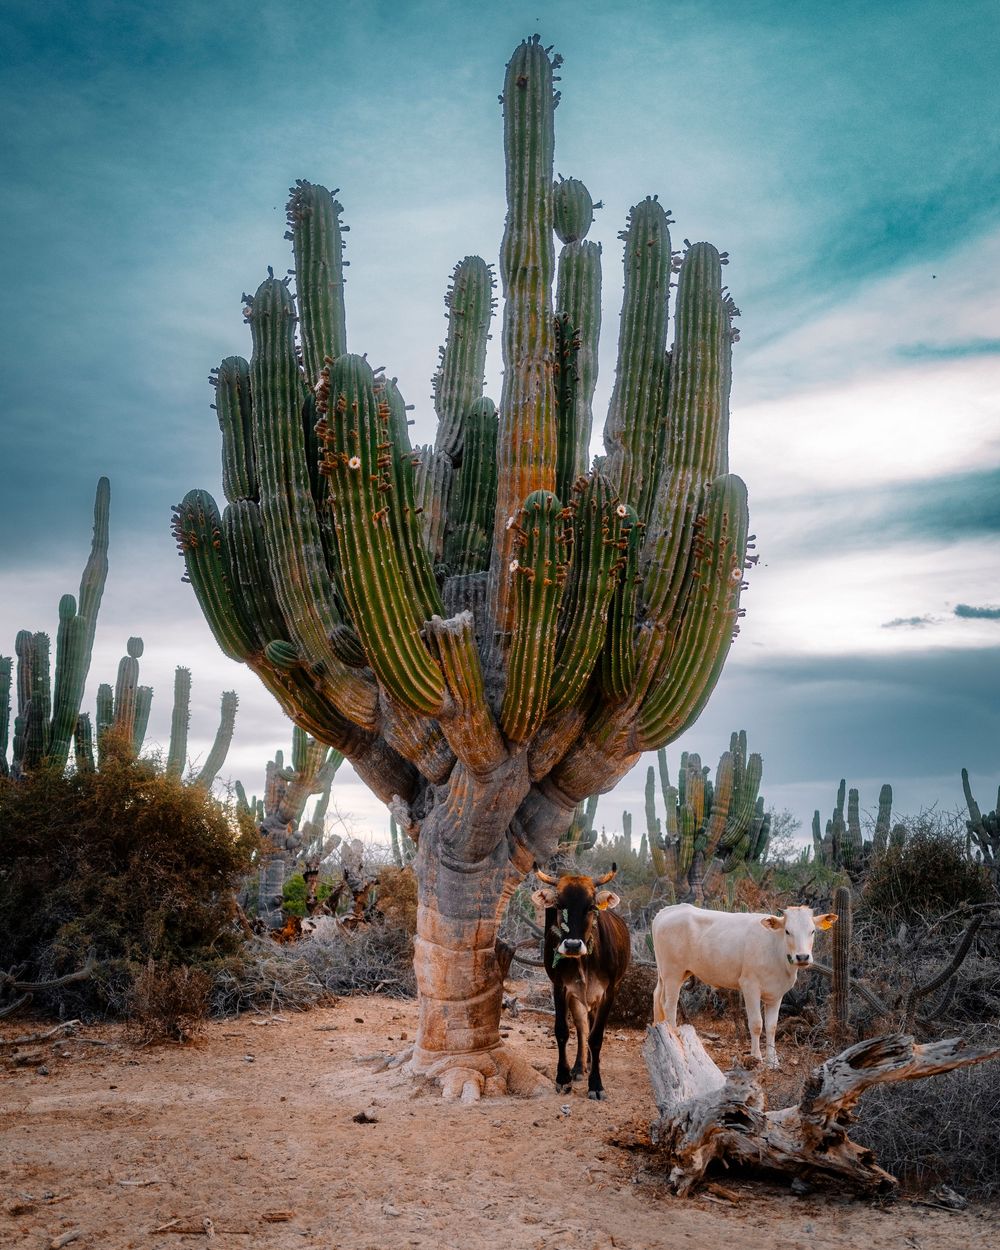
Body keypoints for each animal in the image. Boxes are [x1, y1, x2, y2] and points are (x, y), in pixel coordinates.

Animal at [532, 863, 631, 1100]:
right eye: (560, 905)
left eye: (590, 907)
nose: (573, 945)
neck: (584, 961)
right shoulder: (560, 987)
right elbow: (562, 1031)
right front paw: (563, 1078)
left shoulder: (609, 991)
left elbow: (597, 1037)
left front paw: (596, 1084)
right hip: (578, 997)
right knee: (581, 1027)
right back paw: (579, 1066)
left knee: (590, 1026)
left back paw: (590, 1064)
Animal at [651, 902, 838, 1068]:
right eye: (787, 931)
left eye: (812, 931)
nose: (802, 957)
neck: (775, 948)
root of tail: (668, 910)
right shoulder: (750, 986)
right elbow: (756, 1024)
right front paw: (757, 1058)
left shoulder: (776, 994)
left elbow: (771, 1026)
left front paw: (773, 1062)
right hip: (672, 973)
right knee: (669, 1006)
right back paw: (674, 1040)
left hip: (670, 974)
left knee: (657, 997)